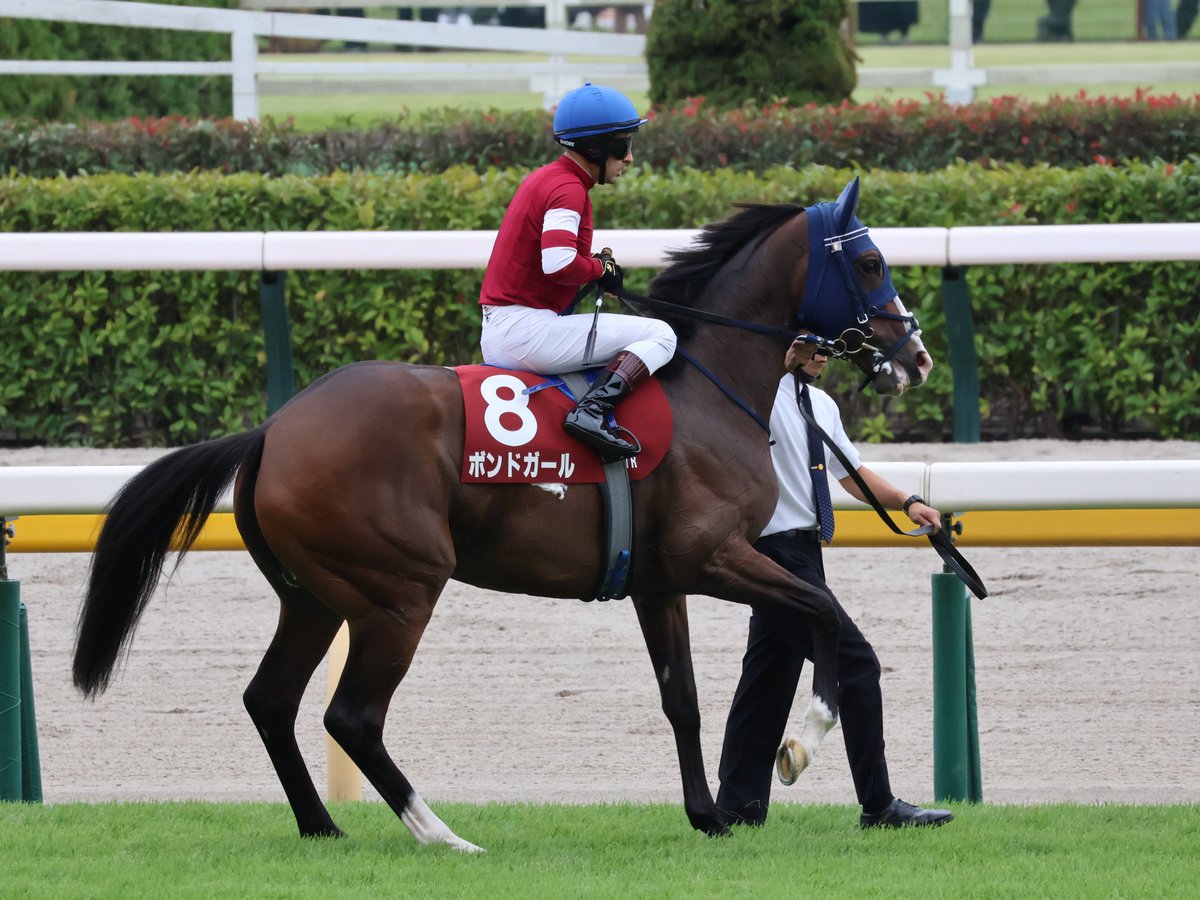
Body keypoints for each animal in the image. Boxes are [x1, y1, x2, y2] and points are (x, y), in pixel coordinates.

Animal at [73, 177, 932, 852]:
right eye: (869, 262)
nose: (916, 354)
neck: (707, 390)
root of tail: (272, 430)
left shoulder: (661, 584)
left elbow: (683, 698)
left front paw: (709, 816)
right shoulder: (713, 556)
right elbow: (824, 611)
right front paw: (803, 740)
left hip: (313, 596)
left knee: (271, 699)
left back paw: (322, 826)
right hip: (399, 591)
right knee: (352, 716)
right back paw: (441, 833)